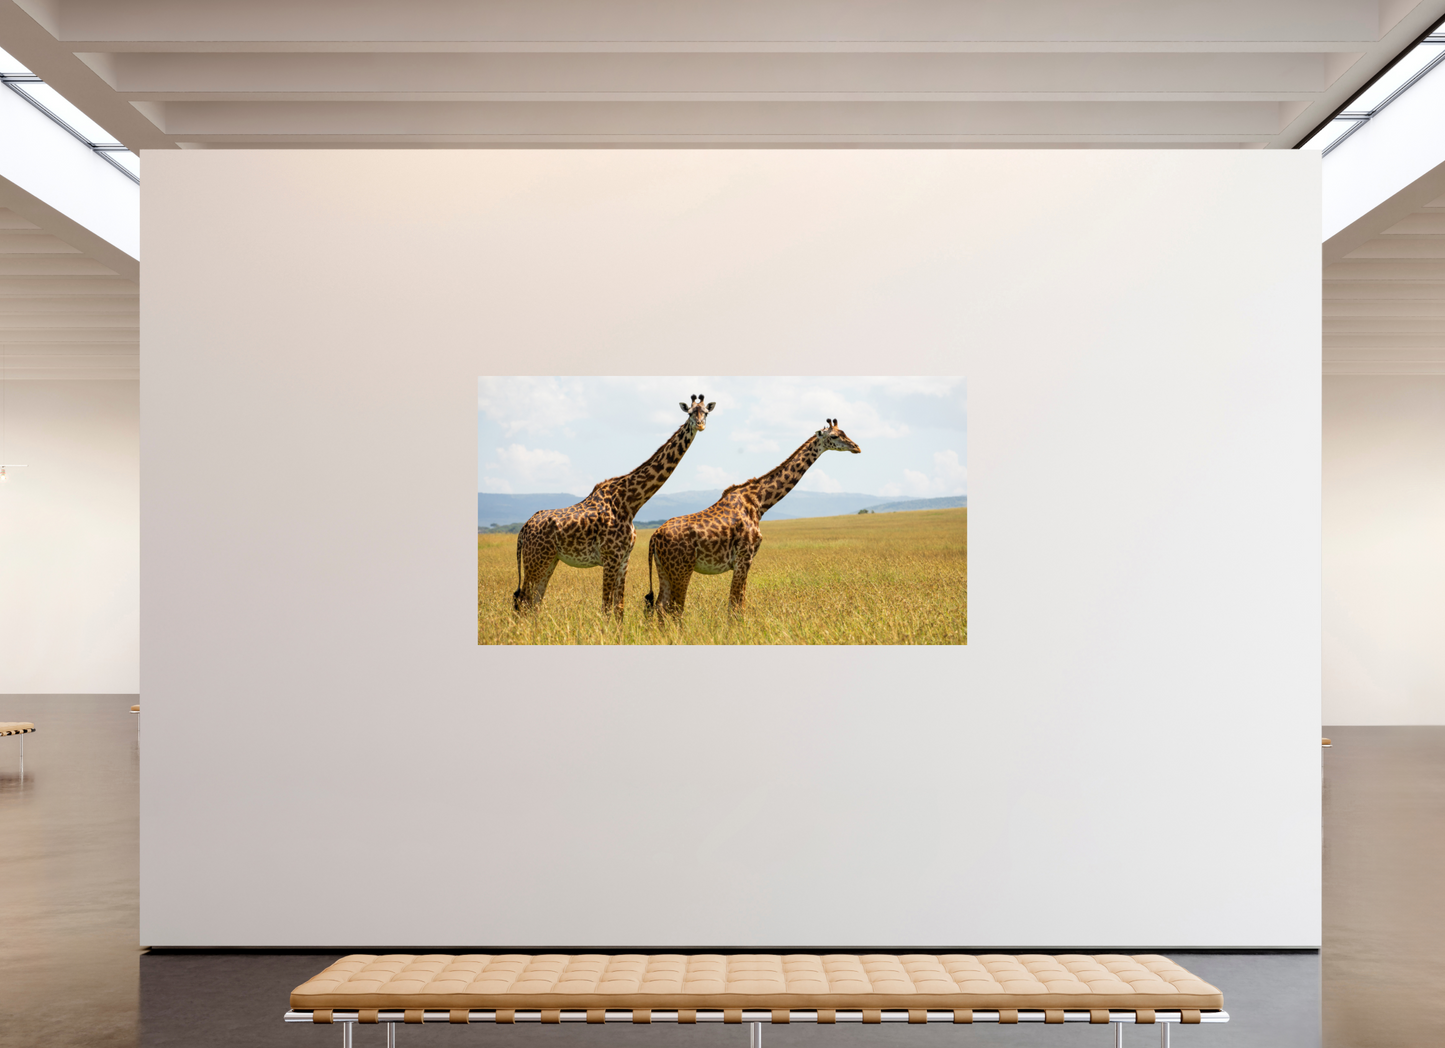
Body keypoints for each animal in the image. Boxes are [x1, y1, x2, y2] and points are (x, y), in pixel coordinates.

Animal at [513, 395, 715, 615]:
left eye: (706, 412)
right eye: (690, 413)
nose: (701, 425)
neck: (631, 502)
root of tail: (523, 530)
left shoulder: (624, 558)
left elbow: (619, 608)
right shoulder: (610, 557)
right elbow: (606, 607)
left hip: (548, 560)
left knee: (534, 601)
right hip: (536, 560)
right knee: (524, 601)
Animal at [644, 418, 862, 617]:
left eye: (844, 432)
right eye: (834, 436)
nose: (857, 447)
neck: (760, 502)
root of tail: (654, 537)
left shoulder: (744, 561)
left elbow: (739, 604)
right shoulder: (744, 558)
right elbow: (735, 607)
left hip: (664, 569)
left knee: (660, 607)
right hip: (681, 569)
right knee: (674, 610)